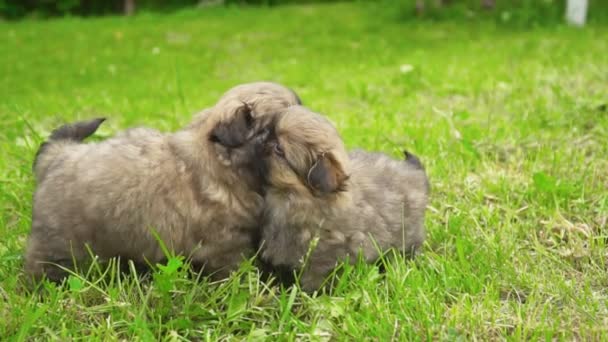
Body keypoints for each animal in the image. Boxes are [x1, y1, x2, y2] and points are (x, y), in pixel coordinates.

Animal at [26, 82, 302, 284]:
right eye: (277, 127)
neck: (221, 162)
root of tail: (59, 155)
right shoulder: (225, 245)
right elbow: (235, 269)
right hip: (57, 243)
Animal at [258, 106, 430, 292]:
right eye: (269, 129)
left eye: (279, 149)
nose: (261, 135)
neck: (295, 198)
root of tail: (414, 171)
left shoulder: (323, 260)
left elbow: (314, 281)